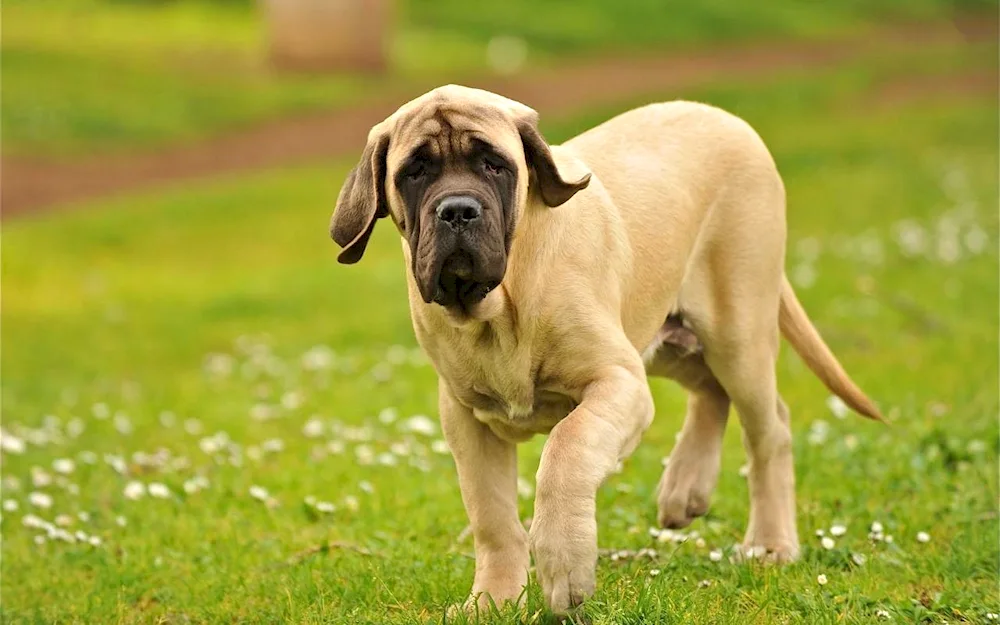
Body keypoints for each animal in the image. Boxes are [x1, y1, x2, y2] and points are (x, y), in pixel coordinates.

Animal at [330, 84, 884, 616]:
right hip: (663, 339)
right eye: (416, 171)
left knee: (770, 429)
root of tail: (730, 119)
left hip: (735, 333)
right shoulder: (465, 416)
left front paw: (564, 567)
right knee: (711, 391)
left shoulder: (617, 382)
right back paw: (686, 487)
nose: (458, 211)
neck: (499, 309)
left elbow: (566, 449)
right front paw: (493, 599)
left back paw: (769, 543)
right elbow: (492, 517)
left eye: (494, 165)